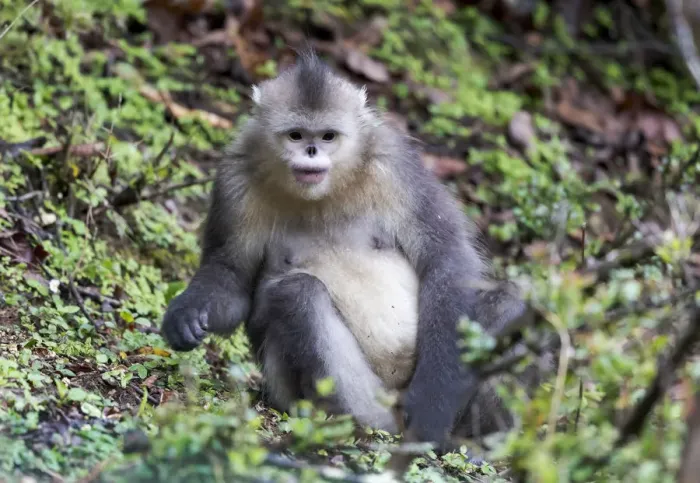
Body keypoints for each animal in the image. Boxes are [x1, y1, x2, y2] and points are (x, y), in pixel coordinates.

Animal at [160, 50, 536, 448]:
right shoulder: (235, 178)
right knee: (298, 293)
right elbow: (232, 279)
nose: (311, 151)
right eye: (296, 135)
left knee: (510, 301)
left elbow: (446, 260)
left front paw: (432, 407)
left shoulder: (393, 162)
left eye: (328, 136)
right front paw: (185, 315)